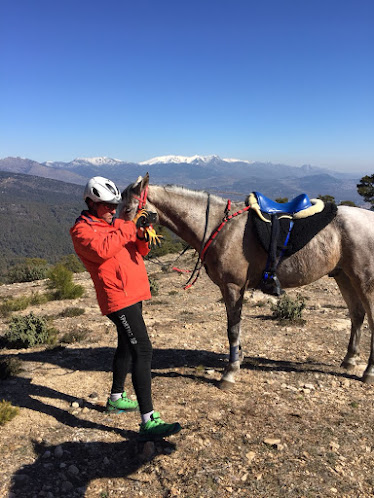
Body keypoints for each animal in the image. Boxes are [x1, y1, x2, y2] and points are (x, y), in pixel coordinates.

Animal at [119, 174, 374, 390]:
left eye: (129, 208)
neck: (217, 226)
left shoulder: (233, 286)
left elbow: (232, 328)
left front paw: (229, 373)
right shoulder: (231, 289)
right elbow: (235, 326)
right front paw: (238, 358)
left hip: (364, 280)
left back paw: (368, 372)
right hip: (344, 276)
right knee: (357, 315)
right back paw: (350, 360)